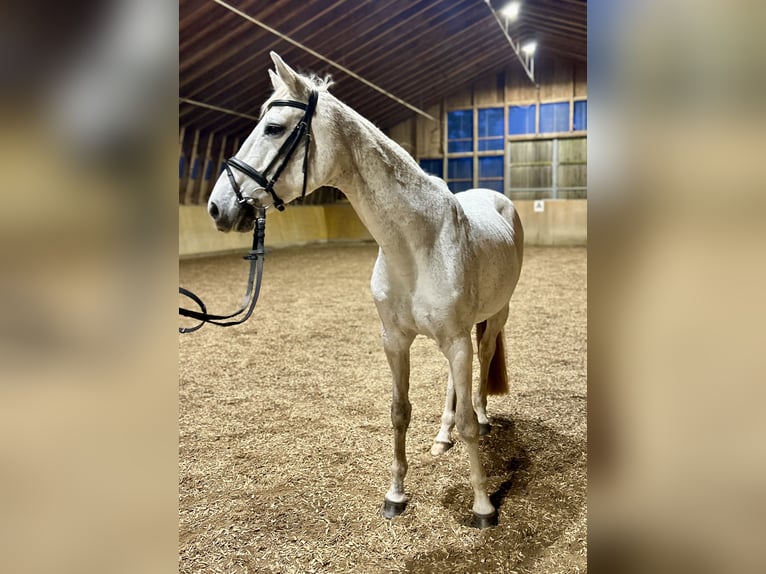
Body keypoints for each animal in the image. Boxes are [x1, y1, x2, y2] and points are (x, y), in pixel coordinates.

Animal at [207, 54, 524, 532]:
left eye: (274, 128)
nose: (217, 207)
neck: (417, 243)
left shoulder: (455, 339)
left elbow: (468, 420)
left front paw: (484, 507)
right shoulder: (394, 340)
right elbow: (399, 412)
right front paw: (396, 495)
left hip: (494, 316)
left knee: (483, 366)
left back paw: (483, 420)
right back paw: (441, 437)